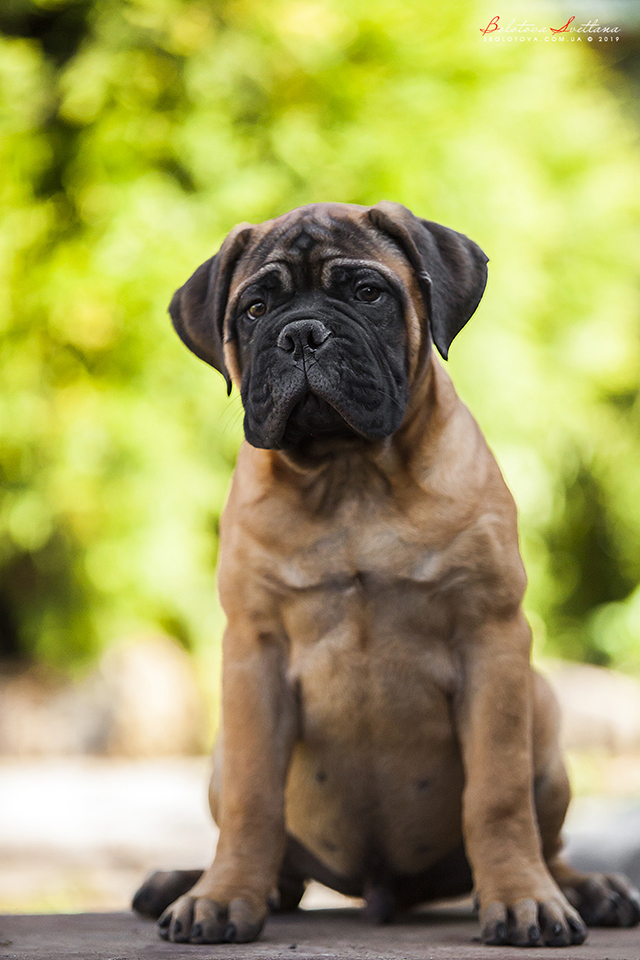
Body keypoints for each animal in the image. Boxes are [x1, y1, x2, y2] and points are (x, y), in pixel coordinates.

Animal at [131, 201, 640, 944]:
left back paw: (585, 887)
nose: (302, 334)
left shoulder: (492, 642)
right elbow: (255, 801)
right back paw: (194, 881)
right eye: (254, 308)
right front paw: (221, 898)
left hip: (542, 710)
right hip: (223, 748)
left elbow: (497, 795)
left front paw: (522, 899)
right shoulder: (253, 654)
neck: (351, 476)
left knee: (548, 841)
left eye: (368, 293)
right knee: (279, 863)